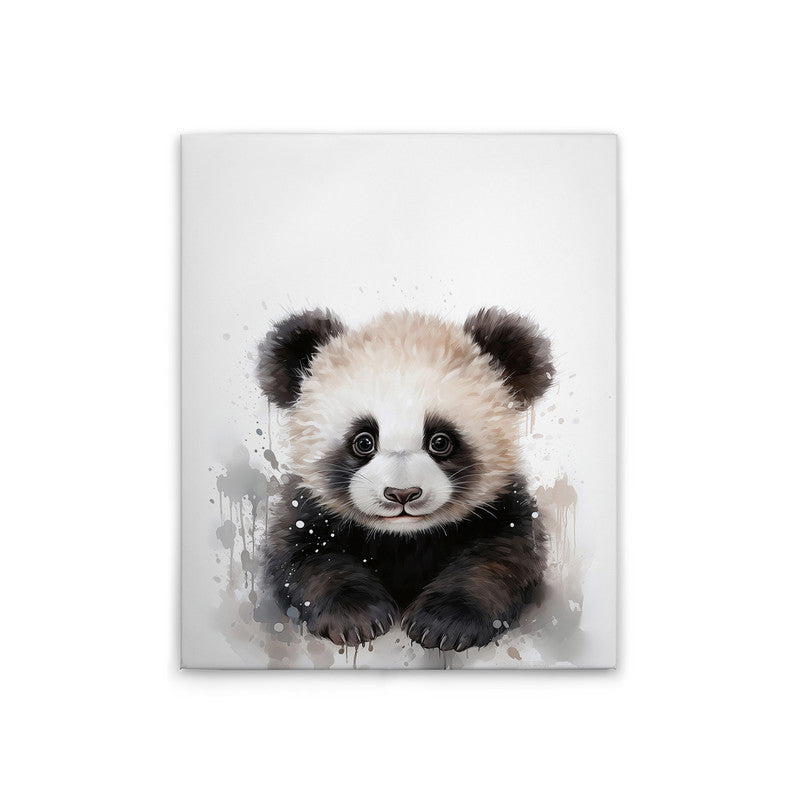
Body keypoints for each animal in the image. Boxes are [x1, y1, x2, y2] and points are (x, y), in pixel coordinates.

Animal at [256, 307, 553, 652]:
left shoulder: (502, 504)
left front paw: (445, 623)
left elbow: (500, 558)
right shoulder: (308, 505)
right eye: (363, 441)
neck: (404, 537)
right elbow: (304, 556)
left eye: (440, 441)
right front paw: (355, 616)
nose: (402, 494)